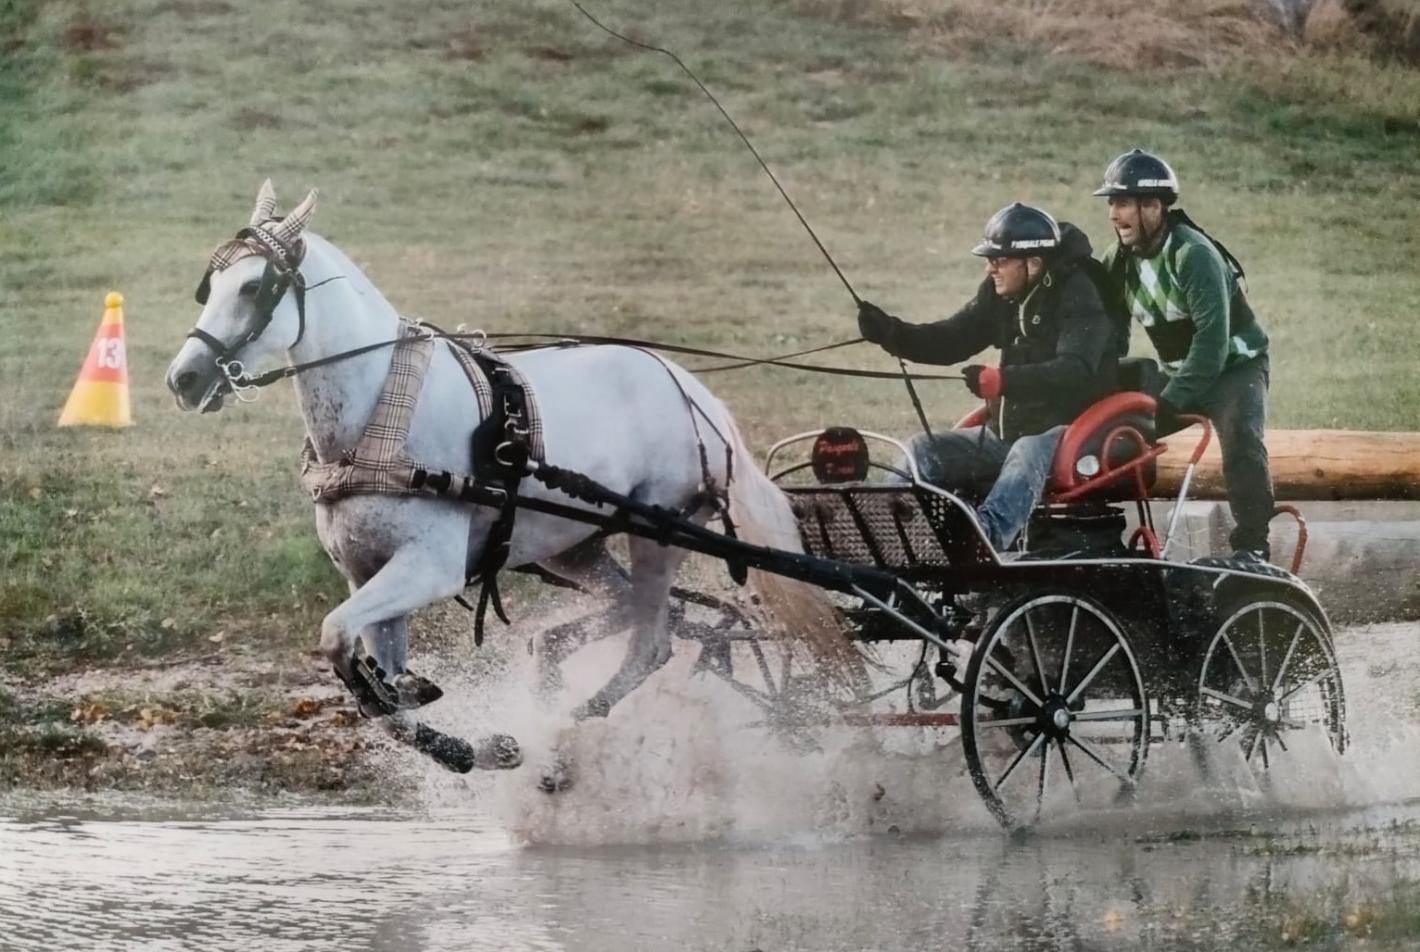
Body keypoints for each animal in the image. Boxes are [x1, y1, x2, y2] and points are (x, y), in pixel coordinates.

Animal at [164, 181, 840, 784]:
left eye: (255, 286)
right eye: (210, 286)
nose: (185, 379)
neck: (382, 416)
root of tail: (694, 393)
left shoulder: (427, 568)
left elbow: (336, 639)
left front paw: (462, 735)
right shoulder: (367, 573)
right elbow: (380, 694)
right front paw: (465, 742)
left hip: (658, 532)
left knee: (651, 641)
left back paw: (560, 743)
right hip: (575, 546)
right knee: (639, 613)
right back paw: (549, 674)